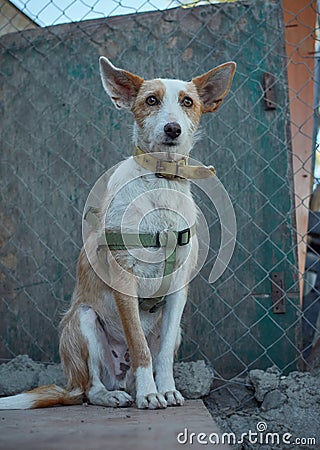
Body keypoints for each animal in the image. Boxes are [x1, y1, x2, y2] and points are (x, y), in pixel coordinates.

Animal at [0, 57, 235, 412]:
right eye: (151, 100)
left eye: (187, 102)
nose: (173, 129)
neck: (161, 180)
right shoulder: (125, 279)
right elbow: (139, 346)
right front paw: (150, 394)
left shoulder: (178, 290)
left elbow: (161, 354)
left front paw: (166, 389)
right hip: (83, 321)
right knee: (90, 390)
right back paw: (115, 394)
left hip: (172, 329)